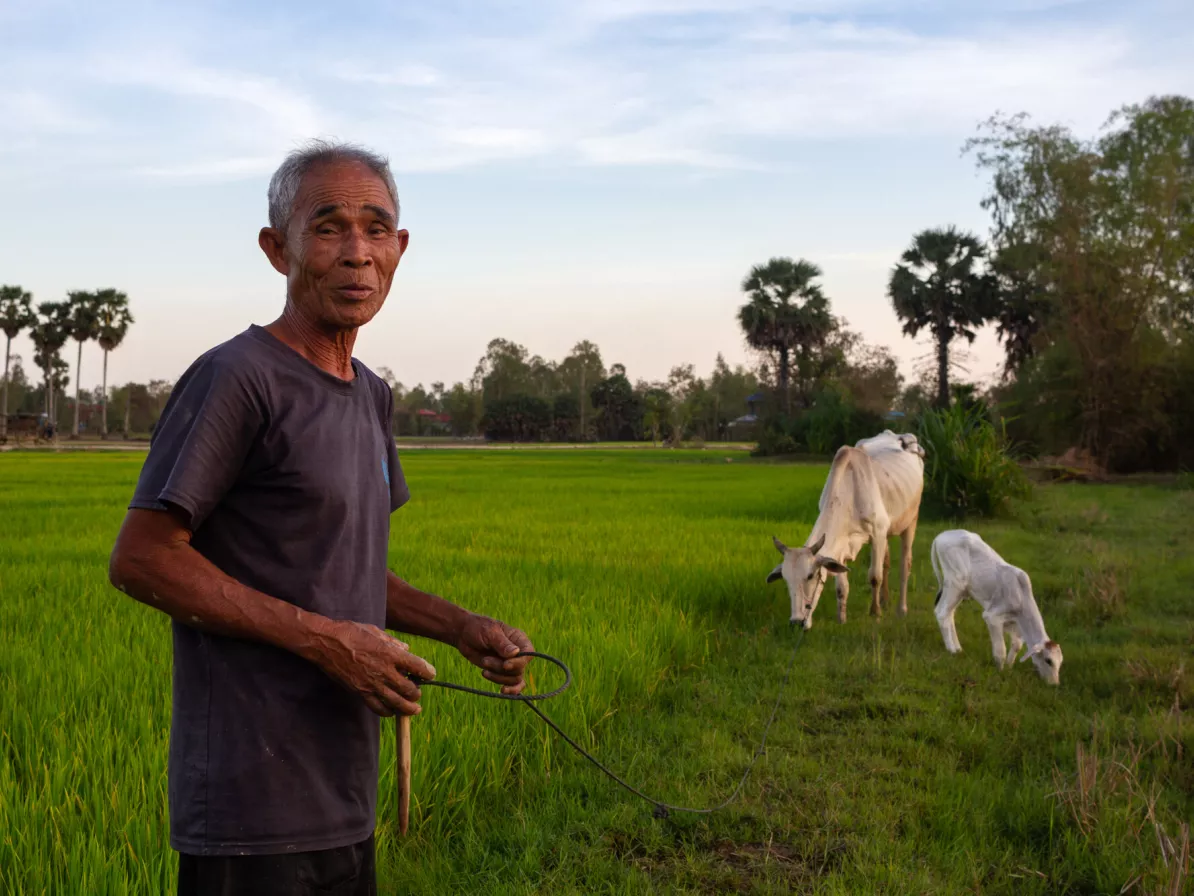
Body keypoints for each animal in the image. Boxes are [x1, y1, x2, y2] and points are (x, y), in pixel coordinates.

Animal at [768, 432, 926, 626]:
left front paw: (875, 613)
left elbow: (875, 577)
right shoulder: (842, 545)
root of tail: (899, 436)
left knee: (905, 564)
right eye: (786, 579)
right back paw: (885, 600)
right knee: (887, 562)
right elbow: (841, 587)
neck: (849, 495)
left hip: (911, 520)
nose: (797, 622)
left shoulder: (878, 534)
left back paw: (901, 609)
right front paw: (841, 619)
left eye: (810, 576)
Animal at [931, 530, 1065, 683]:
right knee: (941, 613)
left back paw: (958, 648)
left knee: (950, 613)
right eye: (1048, 661)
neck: (1021, 597)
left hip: (961, 591)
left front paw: (1009, 667)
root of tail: (941, 536)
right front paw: (1000, 671)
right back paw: (951, 650)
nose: (1054, 684)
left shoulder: (1014, 624)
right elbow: (1001, 650)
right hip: (955, 583)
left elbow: (1017, 645)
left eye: (1060, 662)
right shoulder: (992, 616)